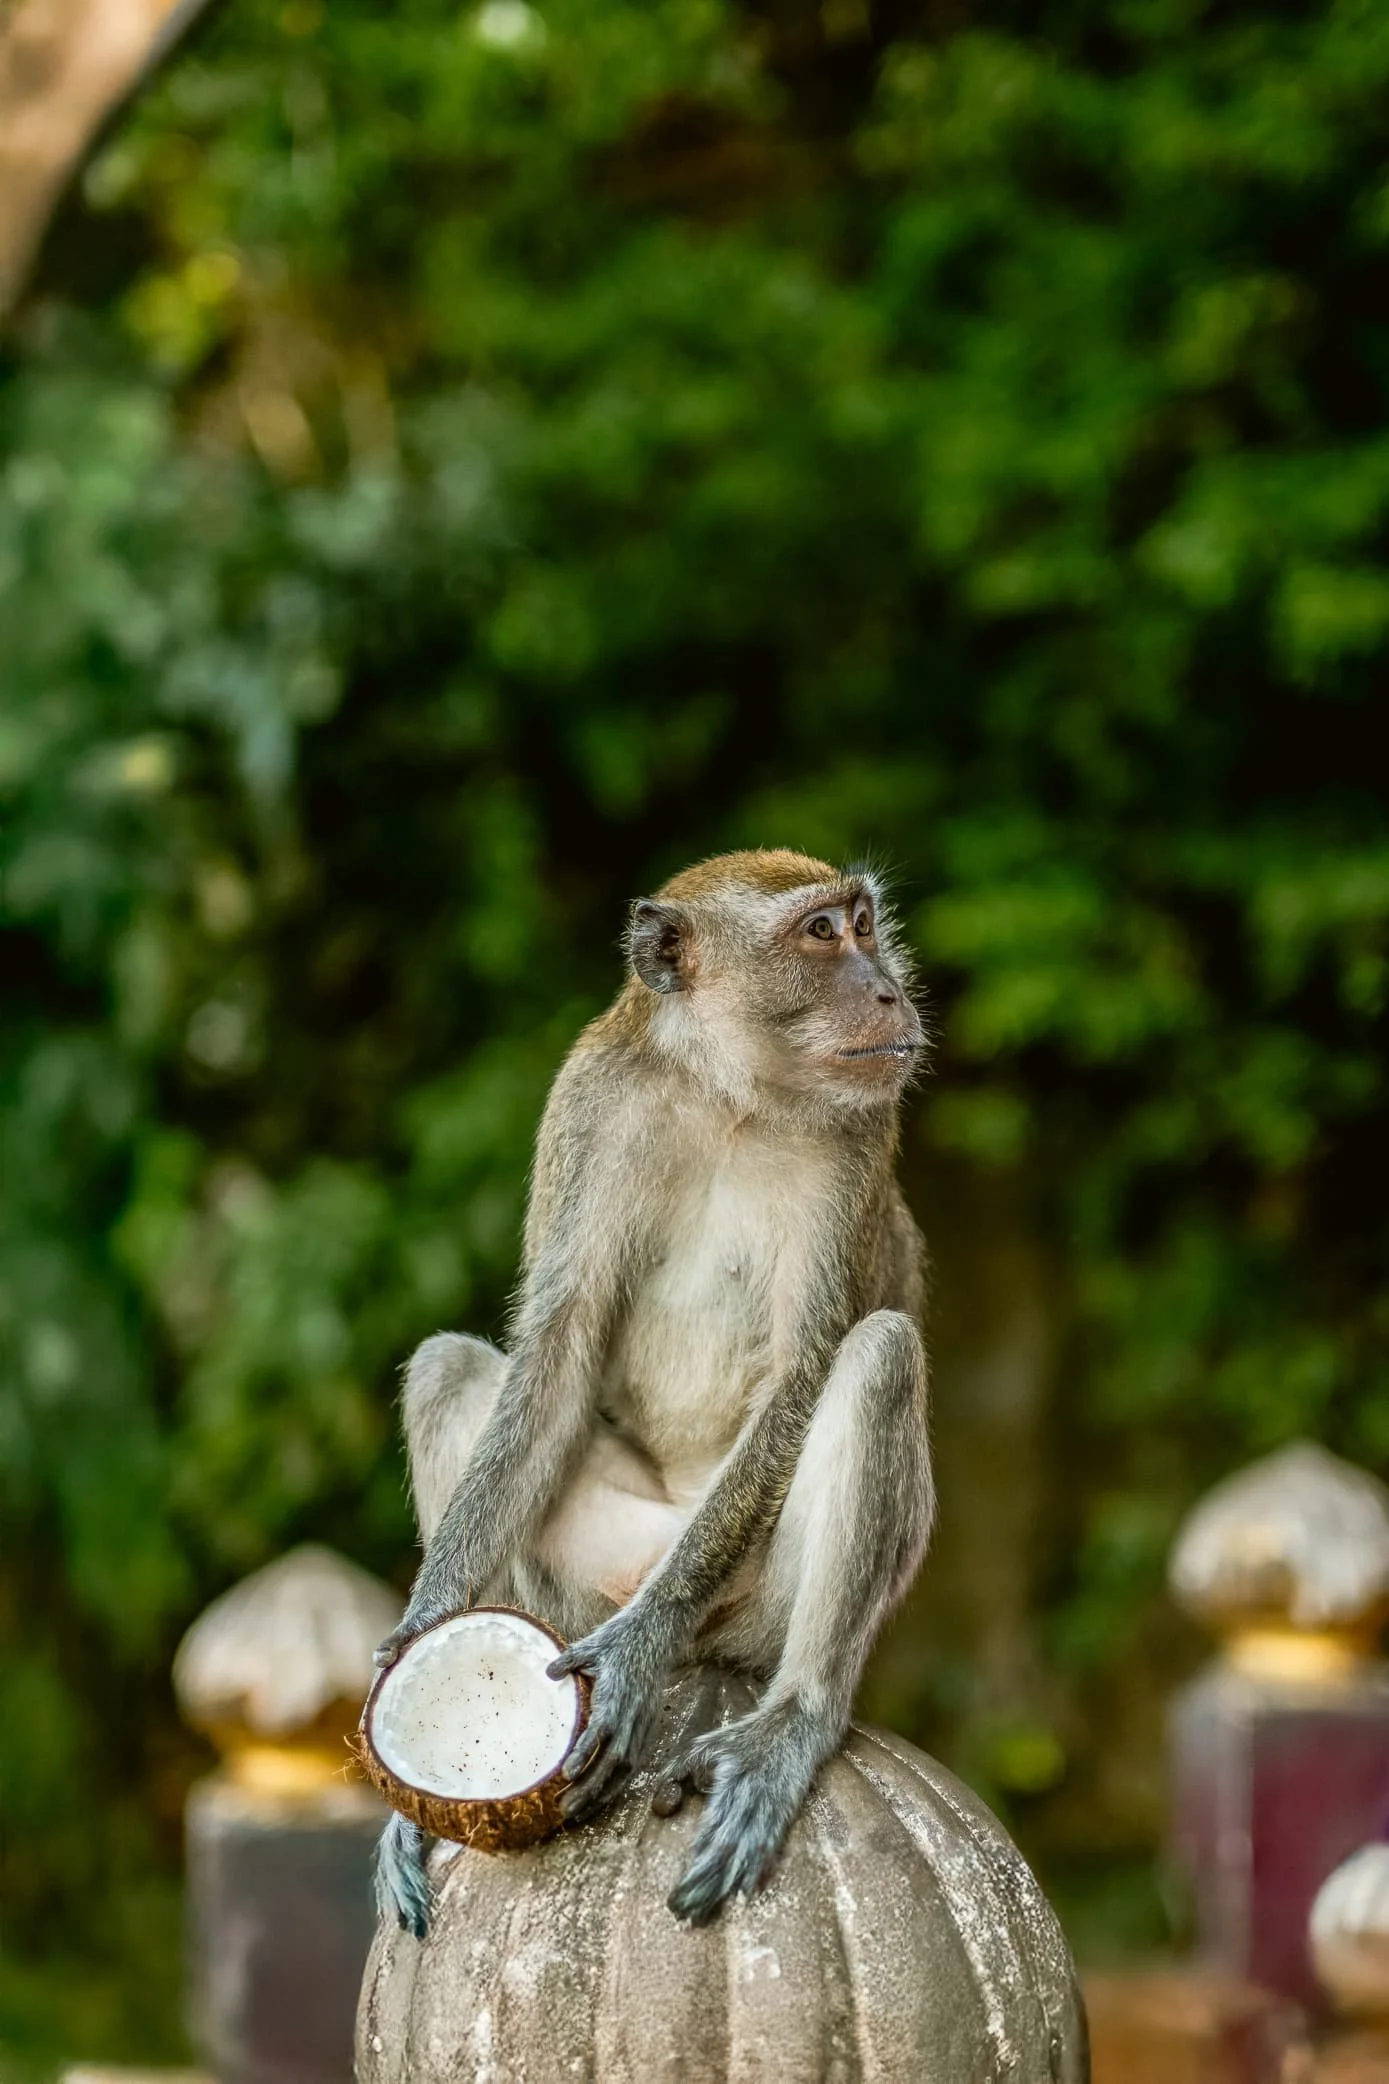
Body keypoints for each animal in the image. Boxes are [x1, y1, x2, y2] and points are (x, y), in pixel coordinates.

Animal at [374, 848, 934, 1938]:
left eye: (862, 924)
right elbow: (559, 1347)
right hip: (576, 1583)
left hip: (757, 1614)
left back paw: (786, 1721)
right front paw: (424, 1632)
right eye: (821, 934)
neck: (728, 1094)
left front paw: (636, 1650)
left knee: (882, 1355)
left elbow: (805, 1370)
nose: (888, 988)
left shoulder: (857, 1132)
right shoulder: (592, 1105)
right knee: (448, 1366)